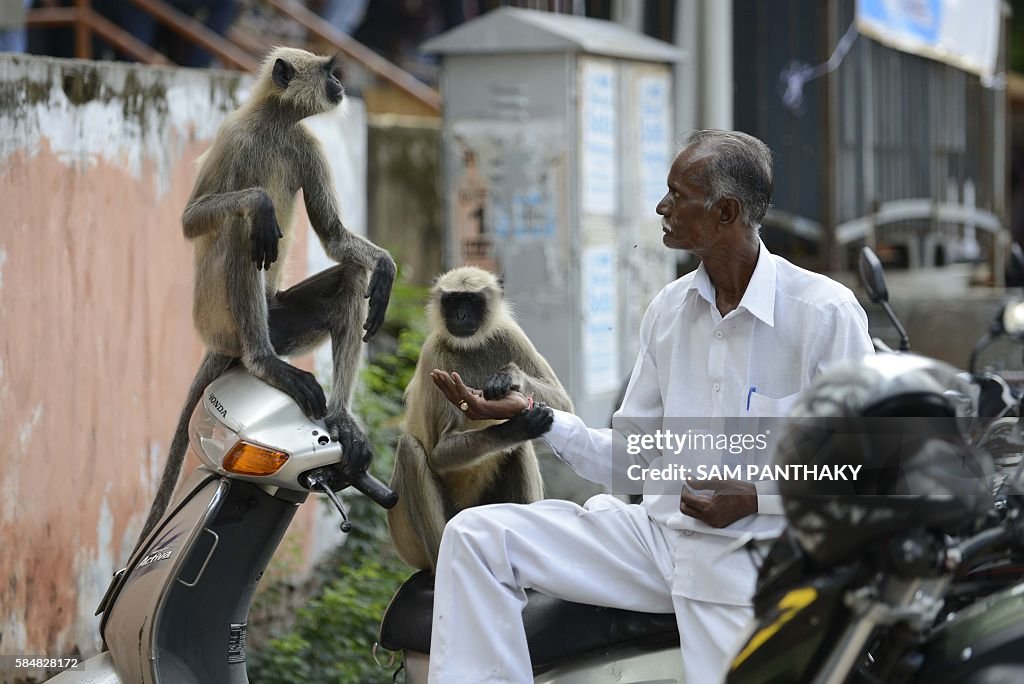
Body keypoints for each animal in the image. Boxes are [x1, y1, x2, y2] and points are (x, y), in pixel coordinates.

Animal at [136, 46, 391, 544]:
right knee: (242, 231)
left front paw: (385, 266)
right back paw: (263, 361)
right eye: (329, 72)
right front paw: (259, 202)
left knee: (352, 276)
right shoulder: (233, 136)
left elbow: (334, 237)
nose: (340, 85)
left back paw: (341, 419)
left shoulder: (307, 143)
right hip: (221, 322)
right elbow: (193, 221)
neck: (274, 122)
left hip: (281, 322)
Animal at [385, 266, 573, 573]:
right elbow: (439, 454)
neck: (469, 347)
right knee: (410, 450)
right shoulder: (434, 356)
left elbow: (565, 407)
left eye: (471, 301)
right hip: (409, 539)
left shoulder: (510, 335)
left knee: (520, 448)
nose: (460, 316)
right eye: (453, 301)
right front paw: (514, 427)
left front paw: (511, 379)